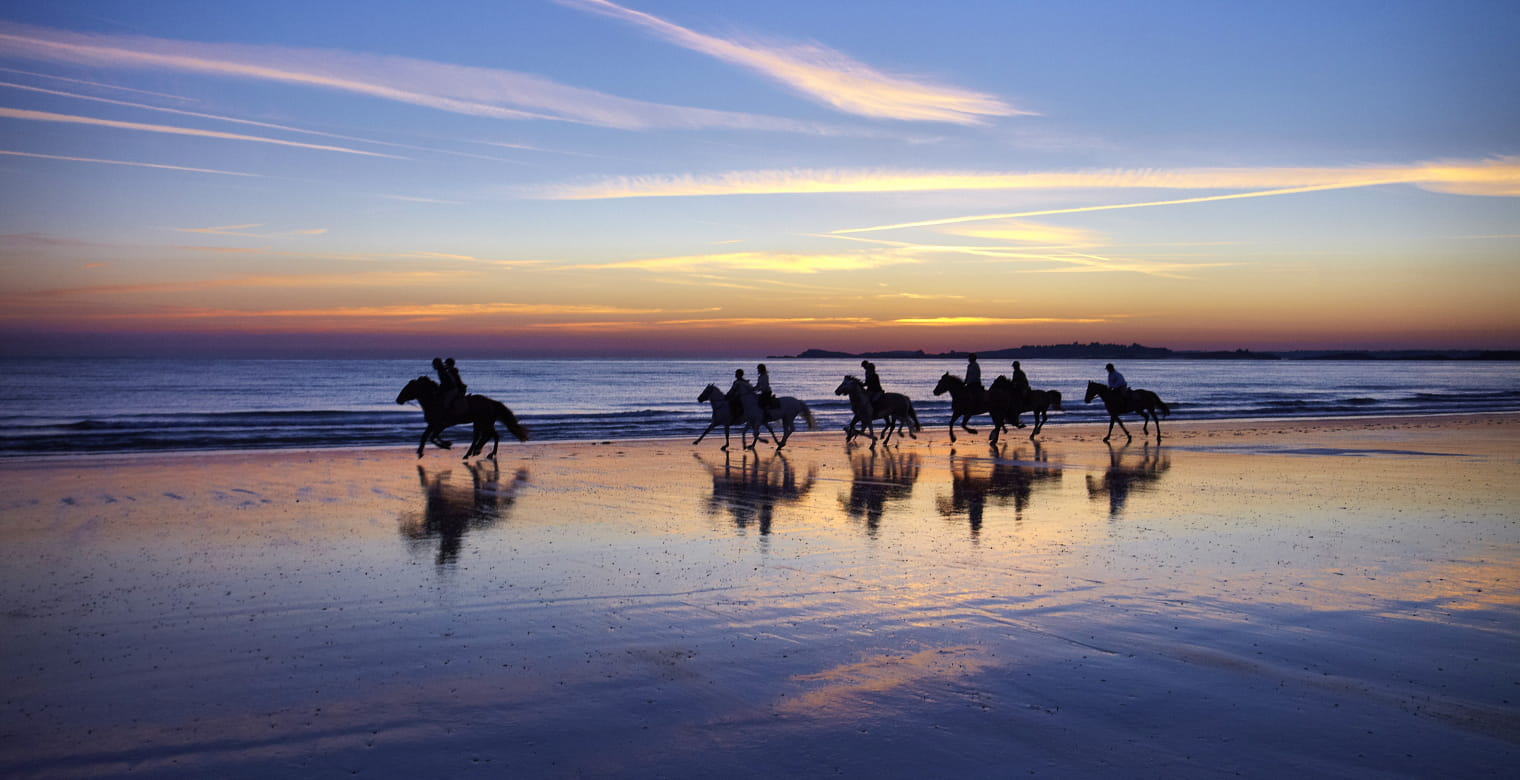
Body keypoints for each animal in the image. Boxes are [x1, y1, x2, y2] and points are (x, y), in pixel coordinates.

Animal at [395, 375, 532, 459]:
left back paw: (484, 453)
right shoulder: (433, 424)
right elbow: (426, 436)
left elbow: (432, 437)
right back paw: (474, 452)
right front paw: (420, 452)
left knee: (491, 436)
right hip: (481, 423)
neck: (434, 400)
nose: (398, 400)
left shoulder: (441, 424)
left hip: (484, 422)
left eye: (408, 388)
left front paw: (446, 445)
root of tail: (491, 402)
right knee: (486, 436)